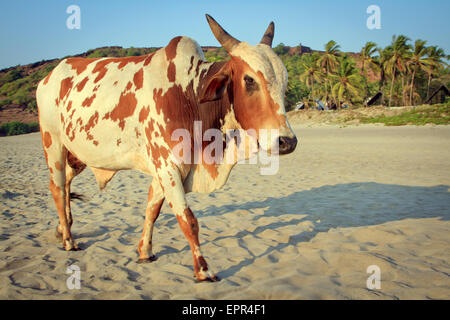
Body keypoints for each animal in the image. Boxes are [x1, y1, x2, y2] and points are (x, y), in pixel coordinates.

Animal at [37, 13, 298, 282]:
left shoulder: (165, 169)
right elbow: (188, 219)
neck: (189, 96)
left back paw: (63, 228)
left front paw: (145, 252)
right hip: (53, 143)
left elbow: (152, 209)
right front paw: (203, 270)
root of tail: (48, 77)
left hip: (78, 154)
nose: (287, 141)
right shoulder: (168, 167)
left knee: (66, 184)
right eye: (249, 80)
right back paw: (68, 240)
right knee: (57, 188)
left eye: (285, 82)